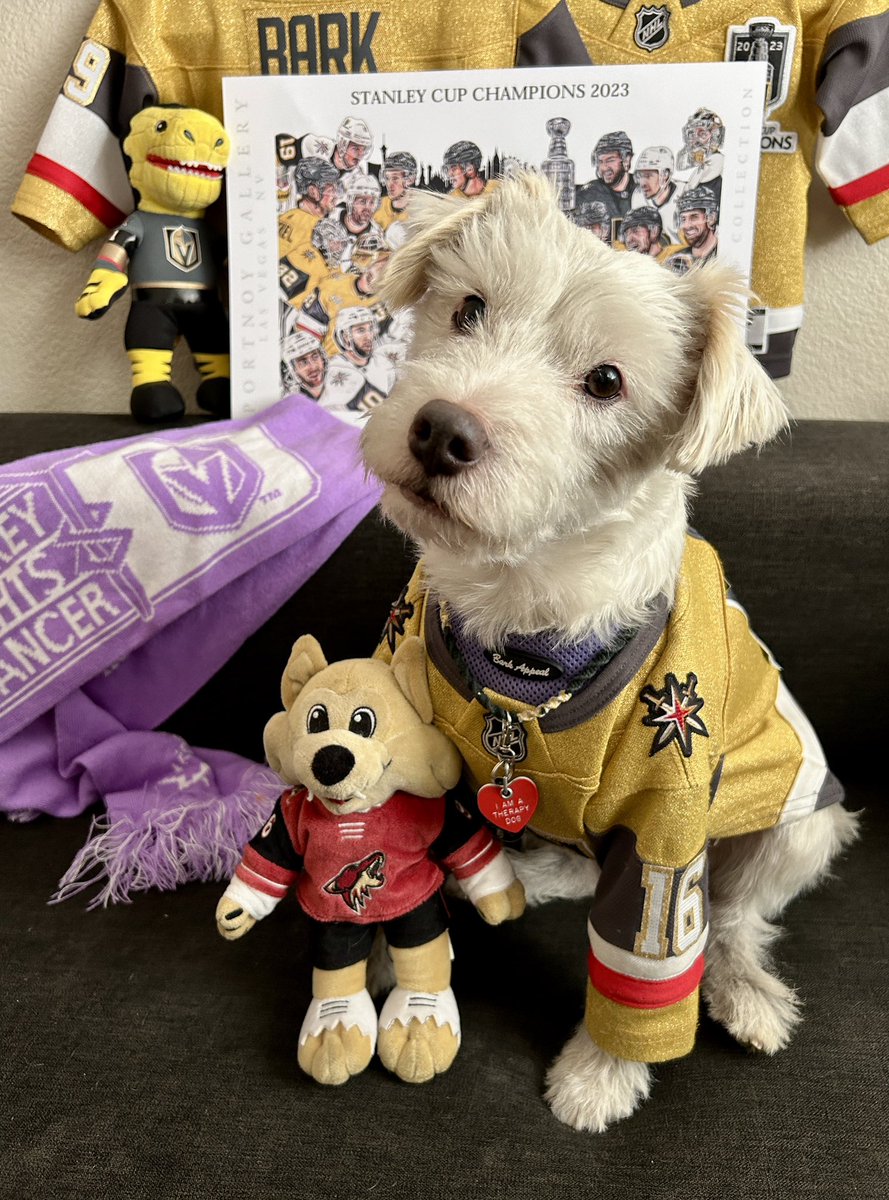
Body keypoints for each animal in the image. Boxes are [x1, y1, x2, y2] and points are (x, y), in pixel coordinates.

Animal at [357, 174, 854, 1128]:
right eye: (468, 308)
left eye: (606, 381)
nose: (442, 429)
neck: (525, 625)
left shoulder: (668, 821)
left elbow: (646, 956)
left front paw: (599, 1078)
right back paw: (538, 870)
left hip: (797, 823)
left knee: (734, 919)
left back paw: (745, 992)